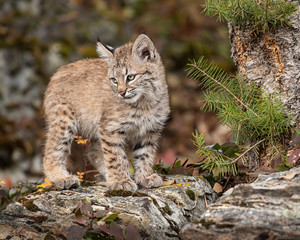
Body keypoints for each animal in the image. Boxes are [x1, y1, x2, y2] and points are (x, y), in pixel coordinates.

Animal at [42, 34, 170, 191]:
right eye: (114, 80)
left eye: (130, 77)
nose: (121, 92)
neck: (146, 101)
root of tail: (58, 71)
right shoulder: (111, 128)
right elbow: (116, 156)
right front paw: (121, 181)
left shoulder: (150, 130)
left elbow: (145, 154)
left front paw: (144, 177)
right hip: (64, 120)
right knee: (51, 150)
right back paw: (62, 178)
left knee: (93, 151)